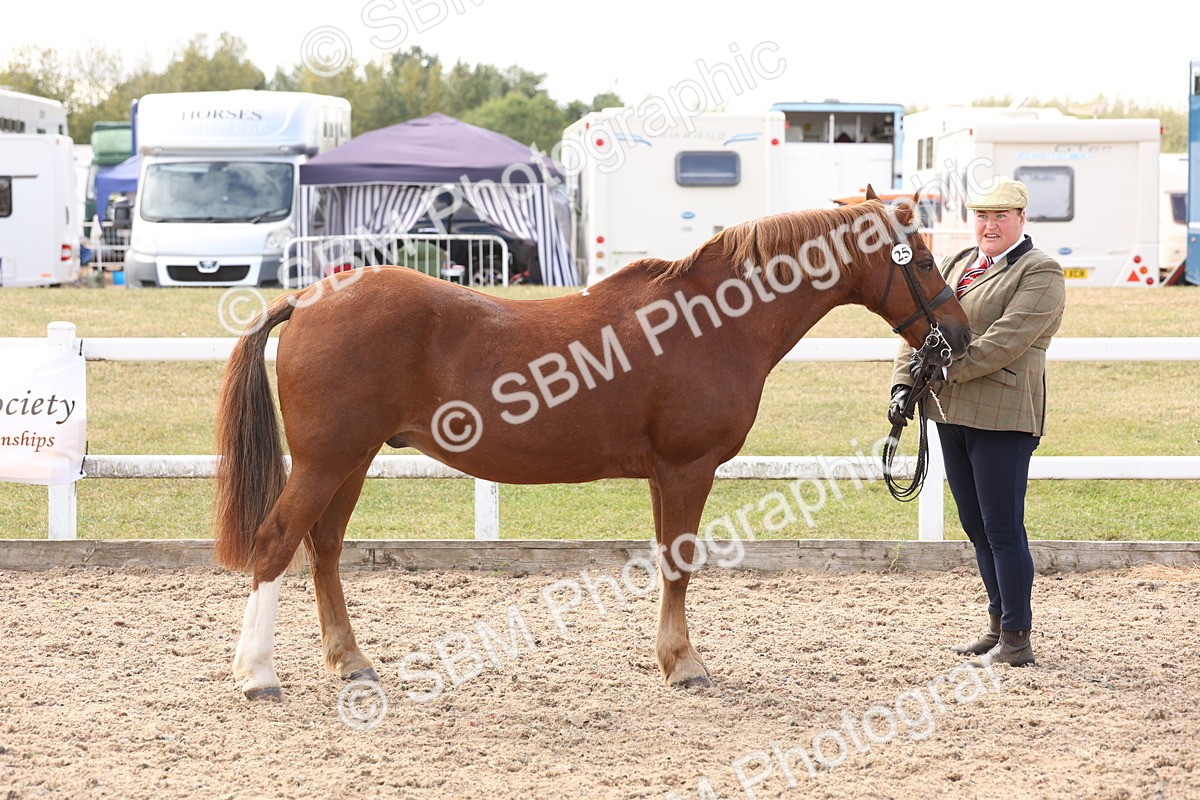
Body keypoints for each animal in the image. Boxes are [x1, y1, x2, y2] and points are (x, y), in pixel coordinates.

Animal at [212, 186, 972, 701]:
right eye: (924, 259)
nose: (958, 338)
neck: (713, 321)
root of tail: (309, 296)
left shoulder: (665, 473)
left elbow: (669, 563)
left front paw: (670, 658)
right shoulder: (687, 467)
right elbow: (680, 564)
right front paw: (685, 664)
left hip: (352, 461)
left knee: (324, 548)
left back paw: (350, 662)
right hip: (326, 461)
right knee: (277, 541)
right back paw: (256, 674)